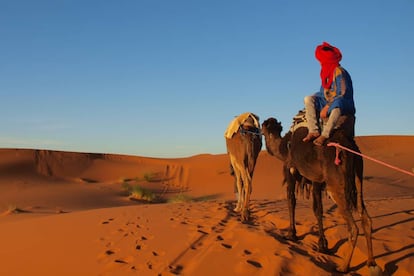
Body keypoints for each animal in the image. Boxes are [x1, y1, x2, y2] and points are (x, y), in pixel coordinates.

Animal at [260, 115, 380, 274]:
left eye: (263, 126)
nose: (258, 130)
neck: (283, 147)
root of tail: (348, 146)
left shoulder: (291, 172)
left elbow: (293, 202)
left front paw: (293, 235)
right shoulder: (316, 180)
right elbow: (318, 209)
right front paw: (322, 244)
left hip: (335, 185)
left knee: (353, 227)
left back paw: (343, 267)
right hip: (357, 177)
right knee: (366, 218)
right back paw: (371, 262)